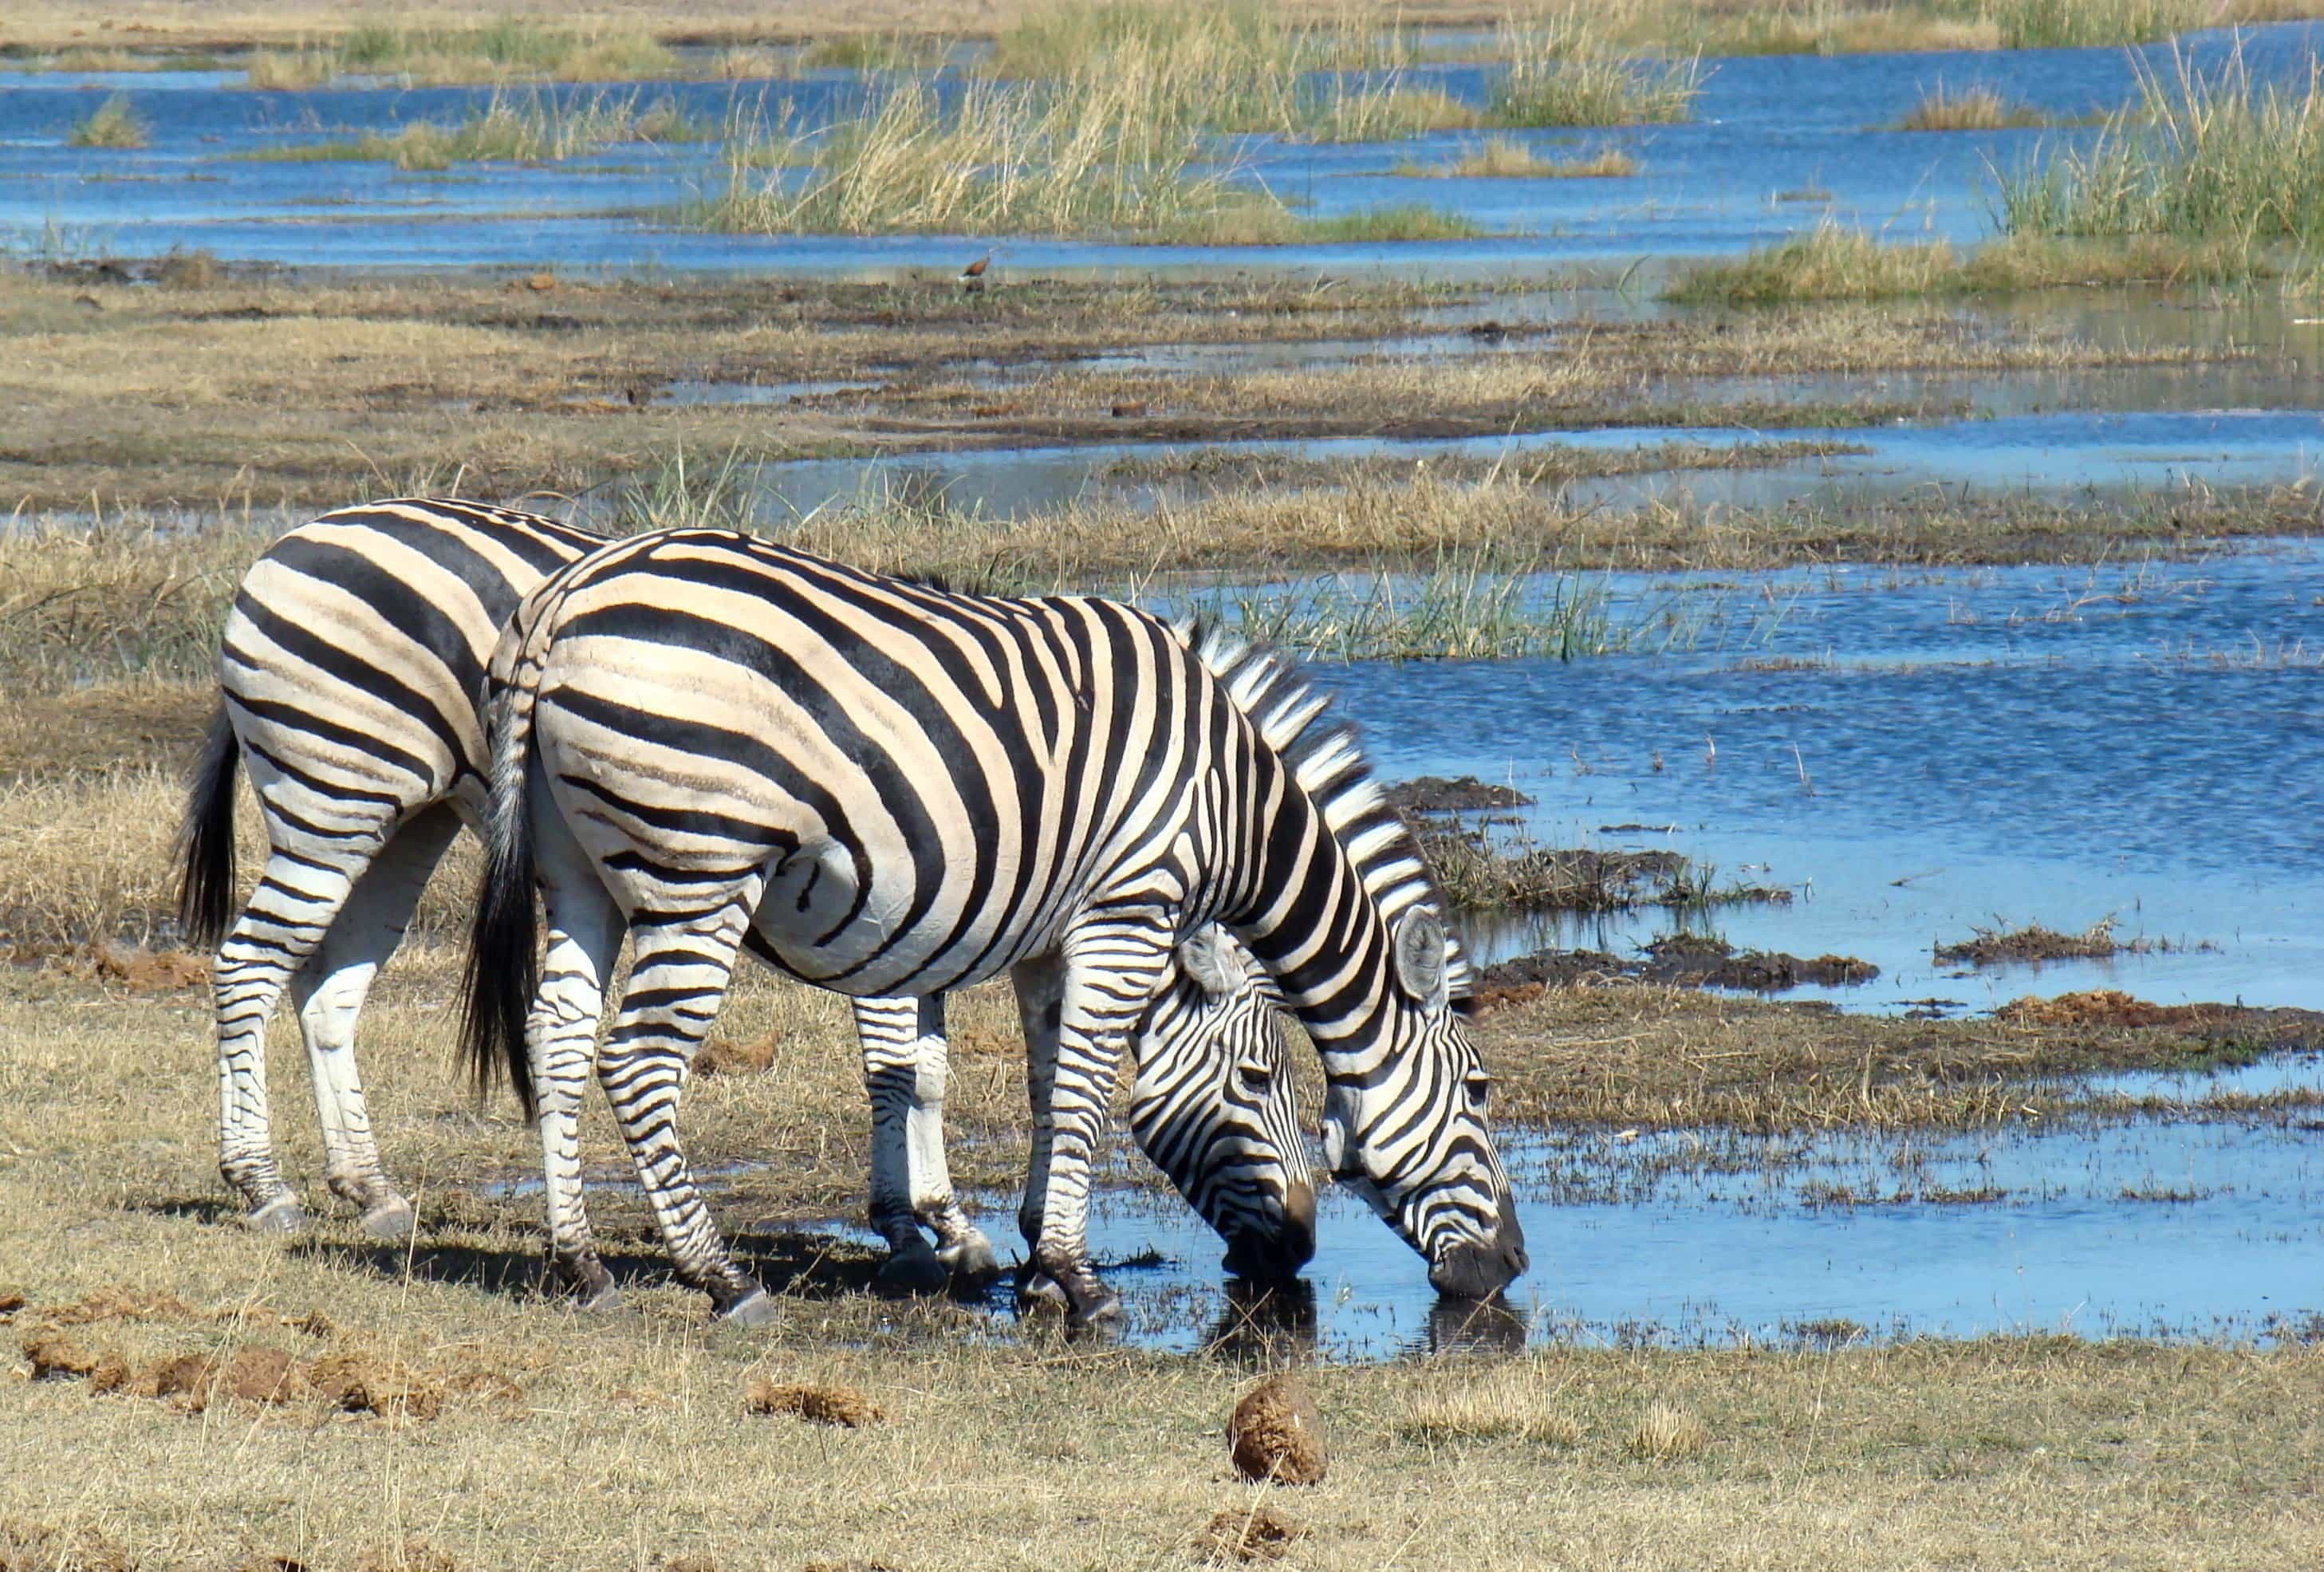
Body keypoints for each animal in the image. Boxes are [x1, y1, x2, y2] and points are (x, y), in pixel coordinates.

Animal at [174, 497, 1320, 1293]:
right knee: (251, 964)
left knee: (327, 983)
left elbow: (932, 1067)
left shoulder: (947, 908)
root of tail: (294, 538)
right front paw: (919, 1229)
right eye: (1260, 1078)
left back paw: (368, 1190)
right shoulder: (901, 904)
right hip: (336, 788)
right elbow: (905, 1072)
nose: (1300, 1249)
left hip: (403, 817)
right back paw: (263, 1185)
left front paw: (952, 1225)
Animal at [462, 527, 1534, 1330]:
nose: (1512, 1268)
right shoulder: (1125, 910)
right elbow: (1084, 1090)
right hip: (701, 866)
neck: (1235, 805)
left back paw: (580, 1263)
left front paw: (1036, 1260)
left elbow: (1045, 1085)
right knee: (637, 1060)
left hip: (577, 869)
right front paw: (1077, 1281)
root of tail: (567, 593)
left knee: (557, 1041)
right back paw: (720, 1277)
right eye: (1258, 1078)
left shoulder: (1053, 937)